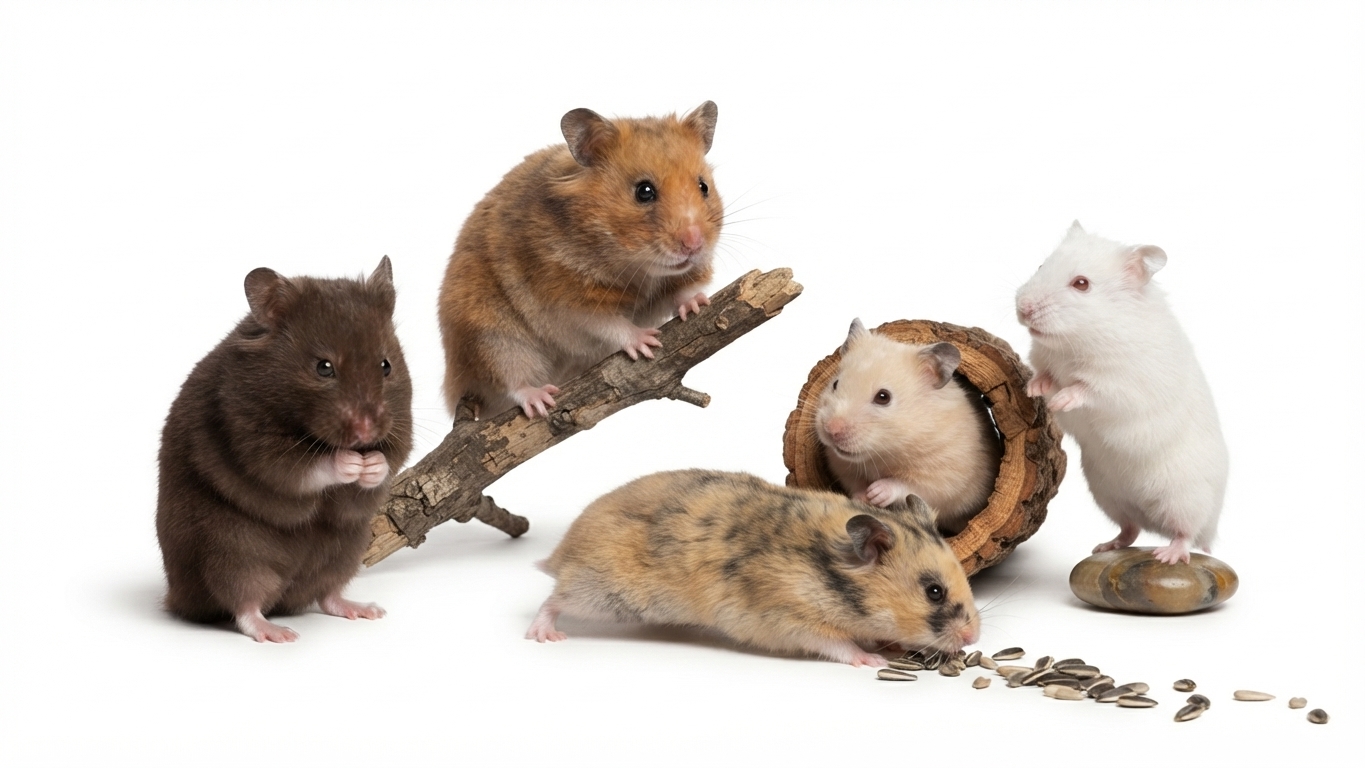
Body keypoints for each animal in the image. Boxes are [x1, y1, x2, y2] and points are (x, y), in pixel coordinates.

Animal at [156, 257, 414, 642]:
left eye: (386, 365)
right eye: (324, 367)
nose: (365, 432)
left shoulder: (401, 425)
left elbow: (393, 456)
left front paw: (371, 466)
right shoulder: (249, 435)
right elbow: (301, 468)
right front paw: (350, 464)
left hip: (348, 548)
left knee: (328, 592)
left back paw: (367, 610)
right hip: (229, 549)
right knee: (244, 603)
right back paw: (279, 633)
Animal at [438, 102, 722, 419]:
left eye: (704, 186)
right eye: (644, 191)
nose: (694, 244)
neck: (636, 266)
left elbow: (682, 291)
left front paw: (697, 304)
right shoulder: (569, 299)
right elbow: (608, 323)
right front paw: (645, 341)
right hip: (491, 338)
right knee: (510, 379)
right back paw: (540, 399)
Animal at [526, 470, 980, 667]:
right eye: (934, 592)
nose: (973, 639)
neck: (830, 572)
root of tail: (562, 549)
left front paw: (896, 647)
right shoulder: (791, 620)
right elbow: (838, 644)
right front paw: (875, 661)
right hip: (606, 595)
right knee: (553, 598)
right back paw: (545, 635)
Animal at [814, 319, 1002, 534]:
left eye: (883, 397)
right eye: (835, 384)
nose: (831, 430)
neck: (883, 454)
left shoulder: (944, 474)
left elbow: (909, 487)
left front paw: (876, 493)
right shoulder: (842, 466)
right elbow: (854, 483)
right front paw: (864, 497)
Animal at [1015, 221, 1228, 565]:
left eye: (1082, 284)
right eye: (1041, 266)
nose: (1023, 309)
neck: (1076, 341)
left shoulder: (1121, 384)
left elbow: (1086, 389)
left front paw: (1061, 399)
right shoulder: (1044, 358)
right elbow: (1045, 374)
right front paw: (1035, 389)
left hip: (1184, 498)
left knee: (1186, 534)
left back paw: (1166, 555)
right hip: (1108, 495)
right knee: (1131, 529)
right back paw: (1105, 547)